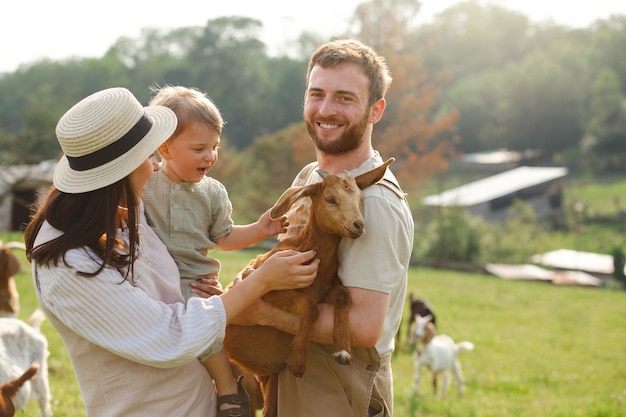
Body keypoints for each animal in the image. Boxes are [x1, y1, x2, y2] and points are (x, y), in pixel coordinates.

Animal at [222, 157, 392, 416]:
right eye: (330, 199)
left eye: (360, 200)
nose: (358, 225)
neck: (307, 250)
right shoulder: (267, 287)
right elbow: (310, 307)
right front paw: (298, 363)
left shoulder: (327, 289)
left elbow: (342, 295)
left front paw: (342, 350)